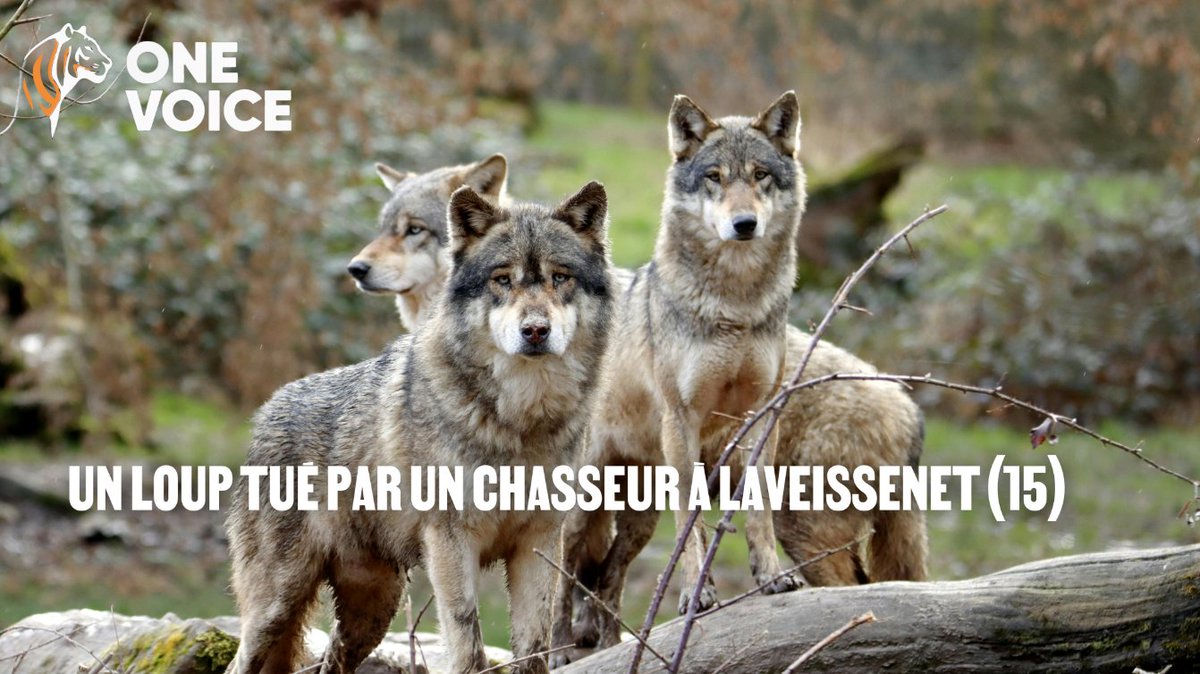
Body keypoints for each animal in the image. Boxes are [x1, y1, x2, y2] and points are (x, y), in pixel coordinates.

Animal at [226, 182, 614, 674]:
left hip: (372, 610)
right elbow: (468, 643)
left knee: (332, 662)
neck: (518, 421)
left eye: (559, 278)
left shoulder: (539, 543)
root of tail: (266, 412)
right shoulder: (450, 543)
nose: (535, 331)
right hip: (275, 609)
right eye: (502, 280)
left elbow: (533, 650)